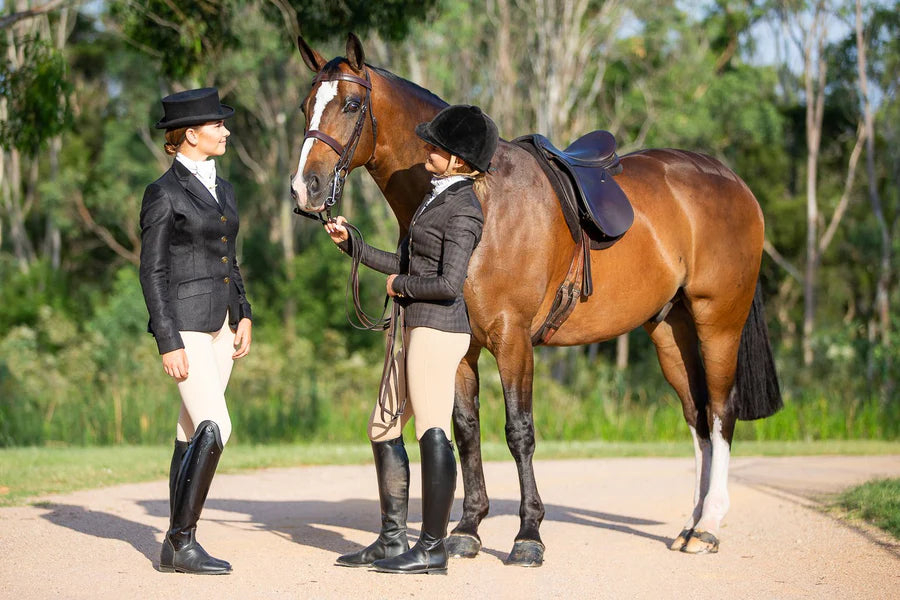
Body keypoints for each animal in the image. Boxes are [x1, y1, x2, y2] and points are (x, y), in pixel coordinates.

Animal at [289, 33, 782, 565]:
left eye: (351, 104)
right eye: (305, 105)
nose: (304, 189)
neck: (481, 194)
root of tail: (732, 181)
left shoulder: (512, 339)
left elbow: (518, 432)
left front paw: (528, 536)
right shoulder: (462, 343)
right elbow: (466, 428)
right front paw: (468, 528)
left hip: (718, 322)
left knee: (721, 411)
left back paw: (709, 526)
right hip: (671, 330)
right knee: (696, 416)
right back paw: (690, 525)